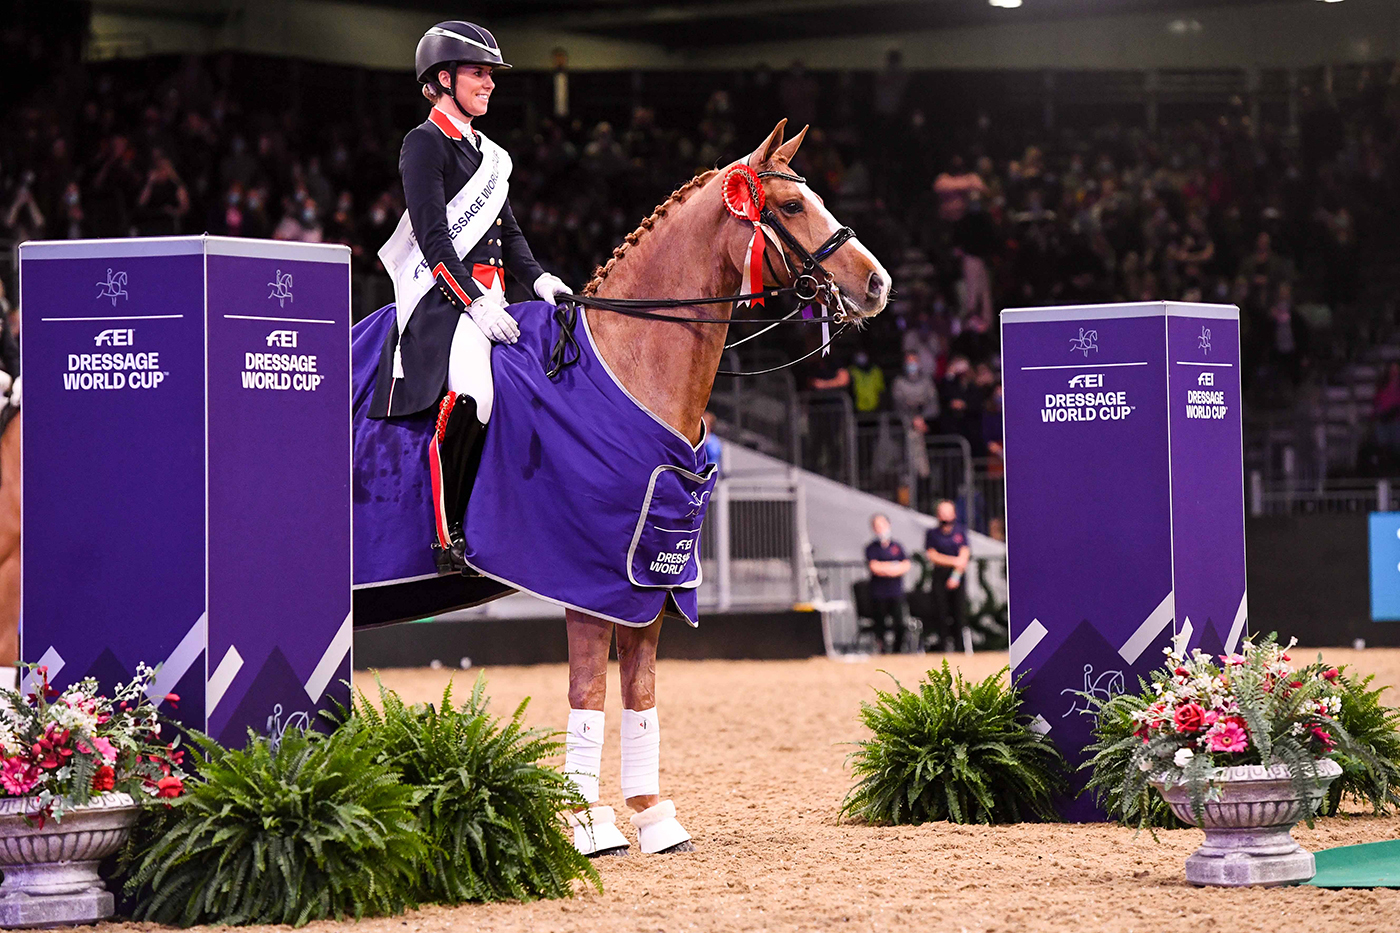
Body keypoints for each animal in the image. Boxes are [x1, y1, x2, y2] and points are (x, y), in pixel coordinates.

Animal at [352, 118, 889, 855]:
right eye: (788, 206)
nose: (877, 283)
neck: (624, 367)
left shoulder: (645, 577)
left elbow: (640, 693)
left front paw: (654, 817)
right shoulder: (584, 575)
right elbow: (587, 695)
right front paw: (587, 823)